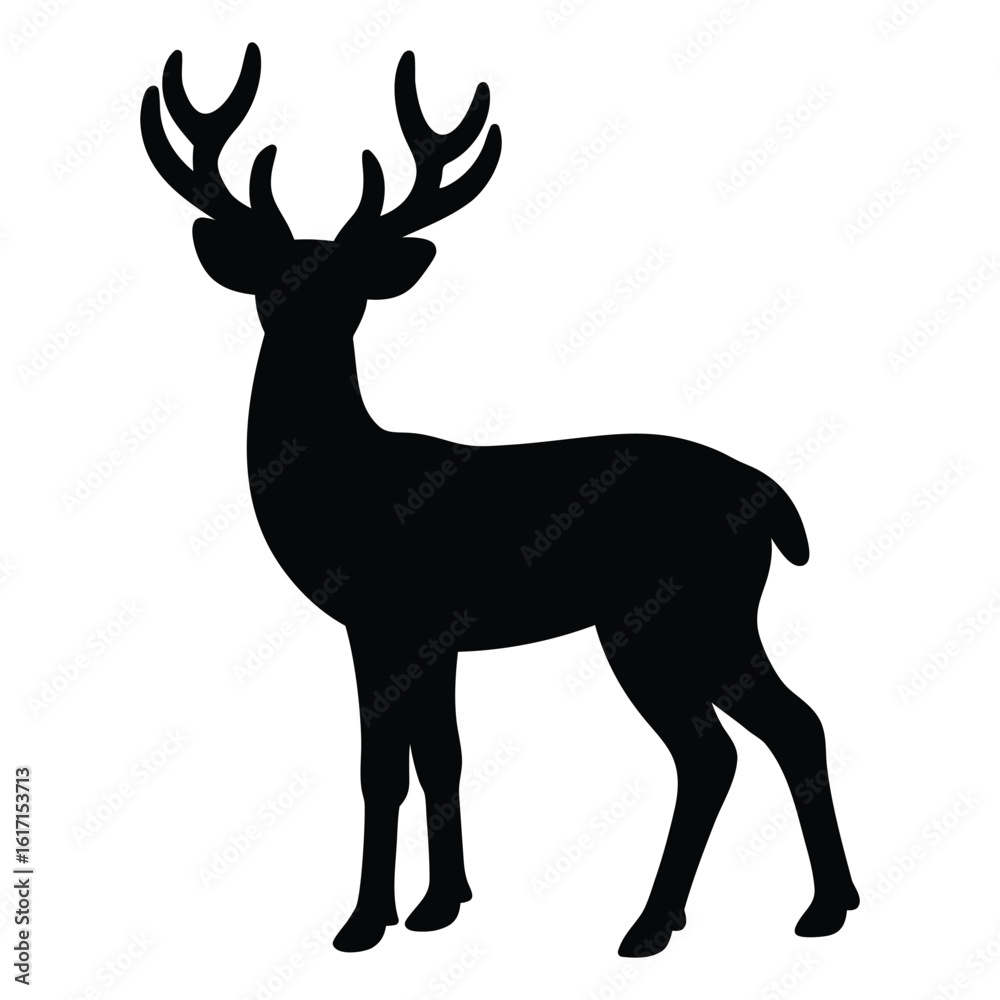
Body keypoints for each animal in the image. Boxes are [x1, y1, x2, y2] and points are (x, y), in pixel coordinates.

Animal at [140, 43, 859, 958]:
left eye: (350, 294)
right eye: (274, 285)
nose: (303, 332)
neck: (347, 483)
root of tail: (774, 502)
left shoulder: (385, 619)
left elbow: (383, 769)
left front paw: (364, 922)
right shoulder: (434, 636)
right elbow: (439, 758)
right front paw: (441, 904)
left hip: (669, 615)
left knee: (722, 748)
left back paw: (672, 922)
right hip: (709, 617)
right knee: (778, 730)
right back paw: (807, 907)